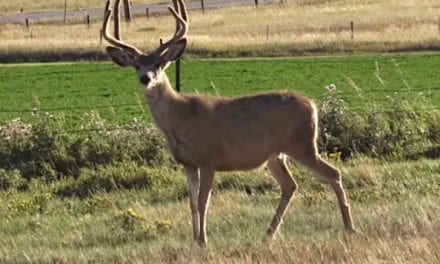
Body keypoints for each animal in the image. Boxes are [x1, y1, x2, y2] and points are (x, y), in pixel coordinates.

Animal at [101, 0, 356, 248]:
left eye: (158, 64)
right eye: (137, 65)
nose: (145, 78)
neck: (180, 117)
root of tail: (312, 105)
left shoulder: (208, 157)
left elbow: (203, 201)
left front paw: (203, 241)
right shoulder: (188, 163)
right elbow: (191, 203)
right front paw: (194, 239)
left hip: (302, 144)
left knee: (333, 173)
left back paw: (349, 228)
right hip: (276, 155)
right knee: (290, 185)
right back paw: (268, 235)